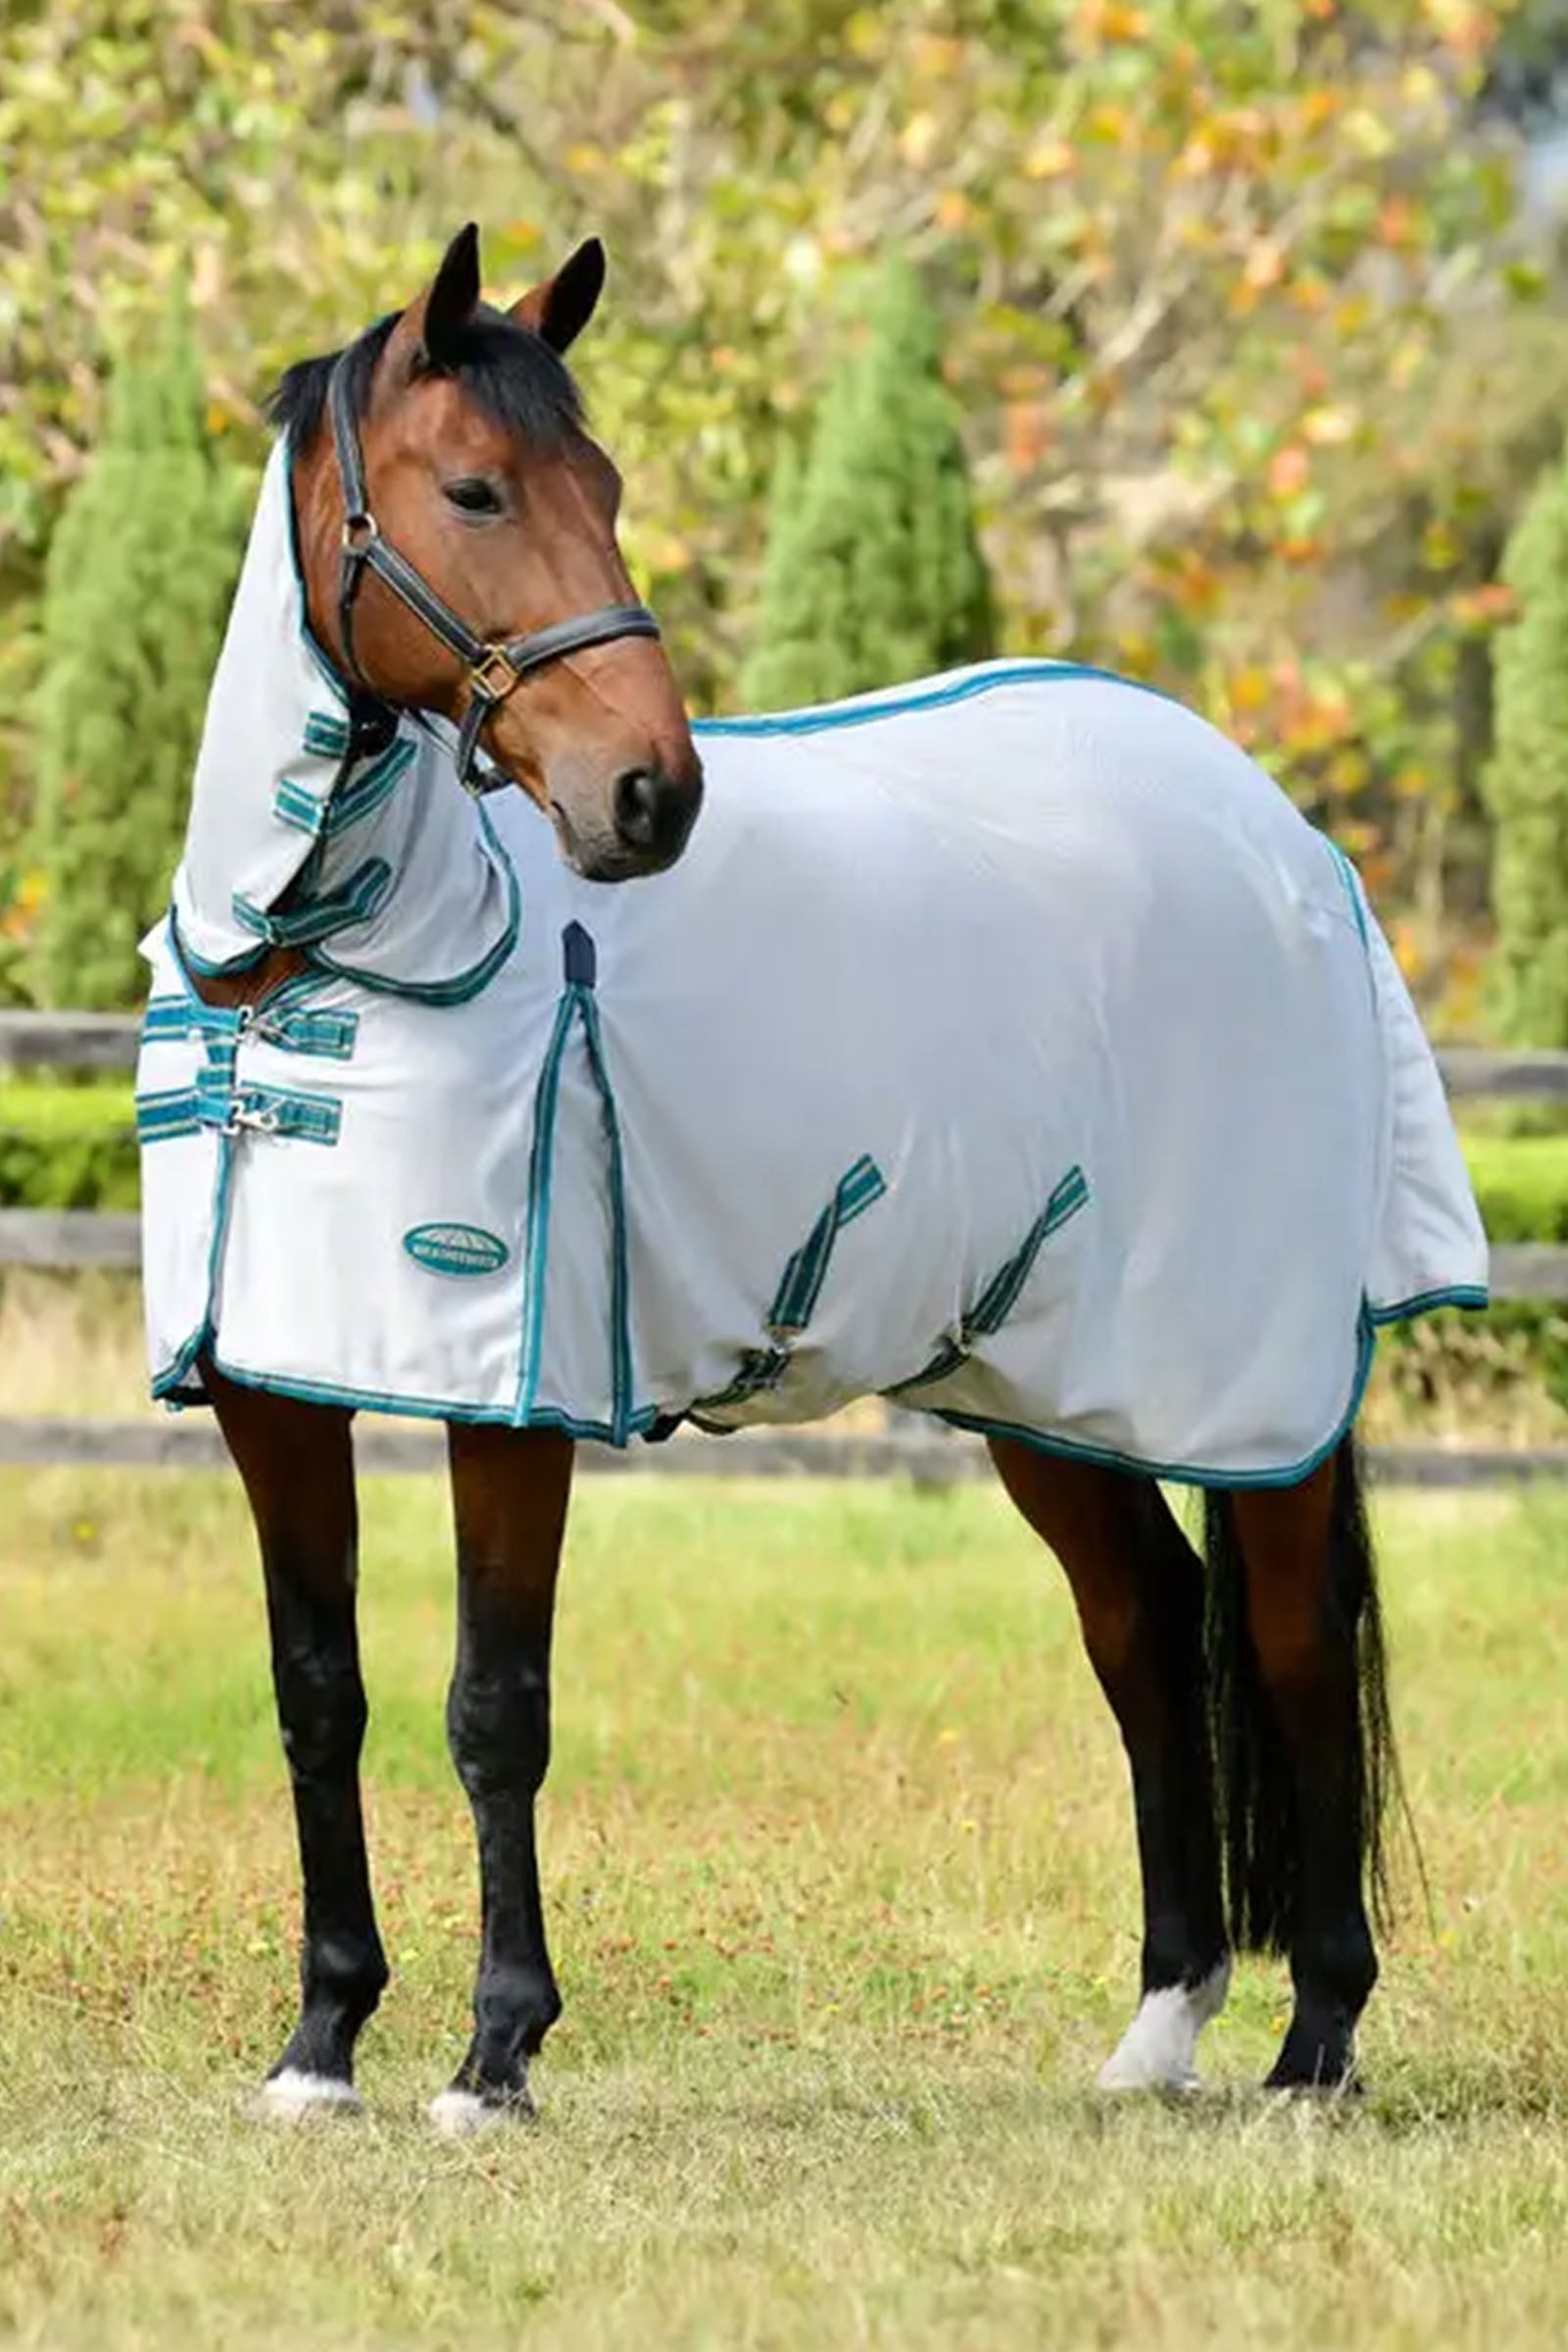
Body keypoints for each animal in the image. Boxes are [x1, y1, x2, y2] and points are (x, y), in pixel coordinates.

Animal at [135, 223, 1487, 2132]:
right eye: (473, 487)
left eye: (609, 488)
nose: (651, 796)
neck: (337, 958)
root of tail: (1289, 839)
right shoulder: (274, 1394)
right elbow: (317, 1694)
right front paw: (321, 2046)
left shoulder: (514, 1396)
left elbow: (494, 1706)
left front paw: (495, 2055)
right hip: (1040, 1378)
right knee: (1146, 1628)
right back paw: (1158, 2034)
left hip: (1251, 1386)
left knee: (1285, 1643)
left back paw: (1314, 2051)